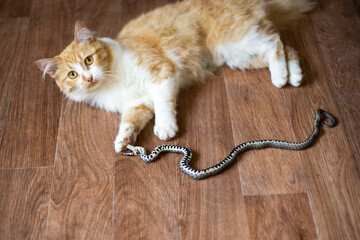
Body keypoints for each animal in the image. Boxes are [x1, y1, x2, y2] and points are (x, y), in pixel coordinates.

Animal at [35, 0, 314, 152]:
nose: (88, 78)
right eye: (72, 75)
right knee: (286, 46)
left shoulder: (162, 74)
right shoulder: (137, 104)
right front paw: (123, 141)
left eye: (89, 60)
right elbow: (129, 123)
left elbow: (164, 106)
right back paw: (293, 76)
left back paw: (281, 77)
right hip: (239, 56)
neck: (111, 81)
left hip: (238, 39)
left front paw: (165, 128)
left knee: (274, 43)